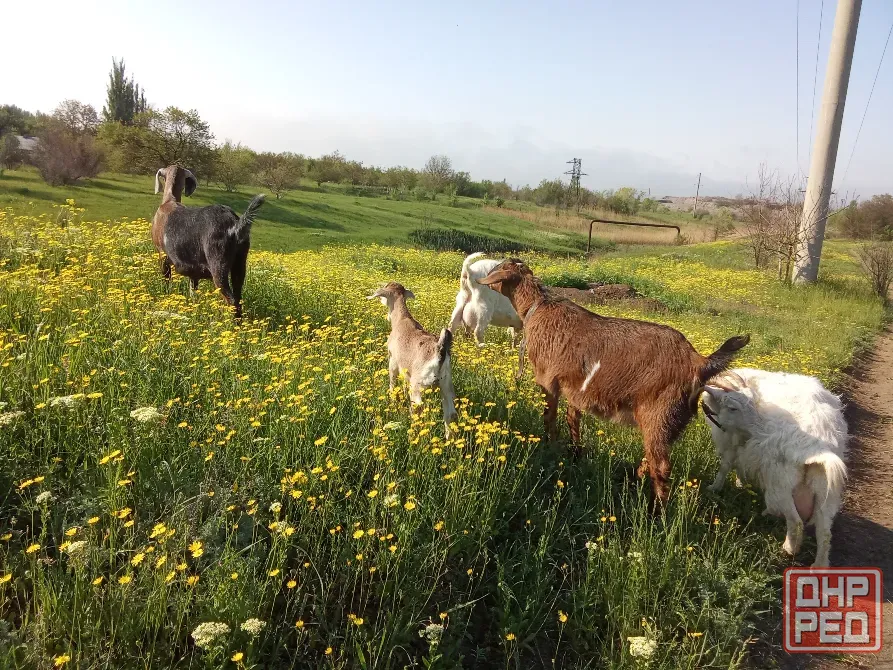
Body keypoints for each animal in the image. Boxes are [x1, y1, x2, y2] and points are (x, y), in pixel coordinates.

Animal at [152, 165, 265, 318]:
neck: (169, 202)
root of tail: (234, 225)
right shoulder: (193, 269)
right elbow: (193, 290)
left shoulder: (162, 255)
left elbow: (166, 281)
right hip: (240, 263)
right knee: (238, 297)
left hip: (218, 263)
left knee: (232, 300)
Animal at [367, 282, 458, 436]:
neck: (401, 320)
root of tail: (440, 350)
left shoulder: (393, 360)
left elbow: (392, 382)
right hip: (446, 383)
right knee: (451, 413)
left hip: (419, 384)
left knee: (418, 408)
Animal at [478, 259, 749, 503]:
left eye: (496, 268)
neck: (539, 307)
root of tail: (698, 362)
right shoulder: (576, 389)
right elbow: (572, 418)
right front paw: (575, 452)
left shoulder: (548, 380)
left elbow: (550, 418)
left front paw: (550, 449)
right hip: (672, 421)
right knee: (655, 453)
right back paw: (635, 476)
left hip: (659, 412)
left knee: (662, 465)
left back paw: (656, 513)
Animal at [702, 369, 848, 567]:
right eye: (733, 408)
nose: (758, 428)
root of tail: (818, 447)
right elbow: (739, 465)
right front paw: (741, 484)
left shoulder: (732, 441)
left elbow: (726, 465)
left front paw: (715, 487)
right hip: (825, 489)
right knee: (824, 533)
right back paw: (819, 566)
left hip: (781, 485)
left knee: (796, 521)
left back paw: (788, 548)